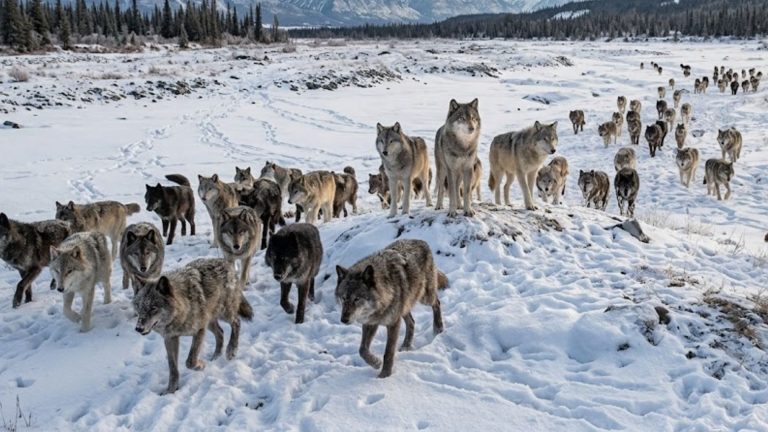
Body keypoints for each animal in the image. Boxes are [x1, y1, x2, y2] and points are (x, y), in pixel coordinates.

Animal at [133, 258, 253, 394]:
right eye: (138, 307)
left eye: (153, 308)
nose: (138, 328)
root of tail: (224, 262)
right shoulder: (170, 338)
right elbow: (173, 368)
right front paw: (171, 390)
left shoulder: (199, 330)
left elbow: (190, 361)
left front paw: (200, 365)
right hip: (210, 321)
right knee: (221, 333)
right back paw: (215, 357)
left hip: (224, 314)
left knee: (236, 322)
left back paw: (231, 351)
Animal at [335, 239, 446, 378]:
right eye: (344, 298)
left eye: (357, 298)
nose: (343, 320)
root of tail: (422, 241)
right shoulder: (370, 323)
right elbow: (362, 350)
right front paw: (376, 363)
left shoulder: (393, 323)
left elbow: (388, 353)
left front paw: (384, 375)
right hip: (405, 306)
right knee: (412, 322)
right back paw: (406, 346)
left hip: (424, 297)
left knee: (437, 303)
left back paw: (438, 328)